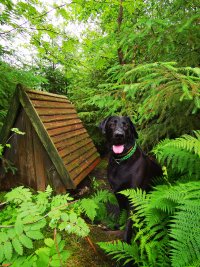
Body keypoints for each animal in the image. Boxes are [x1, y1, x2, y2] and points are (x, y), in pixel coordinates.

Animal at [100, 116, 162, 246]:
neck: (121, 162)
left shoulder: (133, 195)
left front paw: (126, 242)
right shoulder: (118, 193)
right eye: (111, 124)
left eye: (126, 125)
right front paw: (119, 225)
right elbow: (122, 212)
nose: (119, 135)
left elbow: (130, 221)